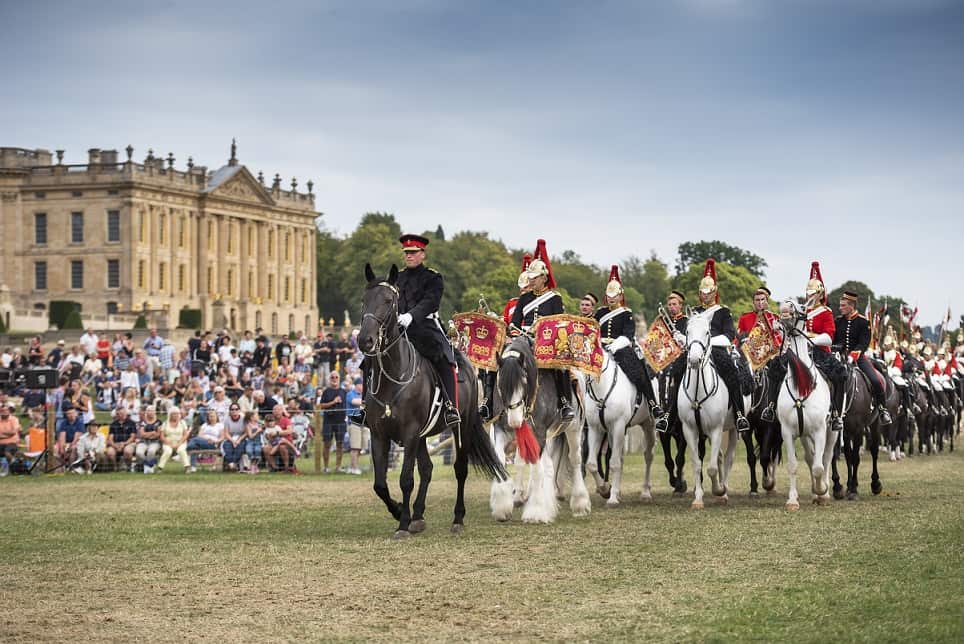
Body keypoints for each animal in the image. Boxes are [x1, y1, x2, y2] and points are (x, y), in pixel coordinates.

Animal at [360, 262, 508, 540]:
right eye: (365, 300)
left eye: (388, 301)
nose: (365, 340)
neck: (394, 377)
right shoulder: (378, 434)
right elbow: (380, 484)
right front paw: (400, 511)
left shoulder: (409, 433)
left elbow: (406, 479)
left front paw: (402, 523)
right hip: (422, 436)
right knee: (427, 469)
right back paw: (418, 516)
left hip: (462, 428)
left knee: (460, 469)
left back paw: (457, 518)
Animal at [584, 344, 660, 506]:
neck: (603, 387)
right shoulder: (596, 429)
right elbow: (592, 464)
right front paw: (605, 489)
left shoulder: (618, 426)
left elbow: (613, 463)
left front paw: (611, 498)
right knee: (621, 457)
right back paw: (617, 492)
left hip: (648, 425)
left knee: (648, 456)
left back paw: (645, 492)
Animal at [676, 310, 740, 510]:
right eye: (687, 332)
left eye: (707, 332)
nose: (695, 360)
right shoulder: (690, 430)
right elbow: (697, 464)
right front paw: (698, 498)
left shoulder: (716, 429)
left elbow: (711, 468)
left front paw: (718, 490)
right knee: (718, 457)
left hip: (733, 429)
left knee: (728, 459)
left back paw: (723, 491)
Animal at [776, 300, 836, 510]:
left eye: (802, 306)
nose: (785, 307)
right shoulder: (788, 432)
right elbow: (794, 466)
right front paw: (793, 500)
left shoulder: (820, 430)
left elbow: (819, 466)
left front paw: (822, 490)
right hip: (804, 435)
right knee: (811, 458)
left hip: (832, 431)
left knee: (825, 458)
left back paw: (823, 492)